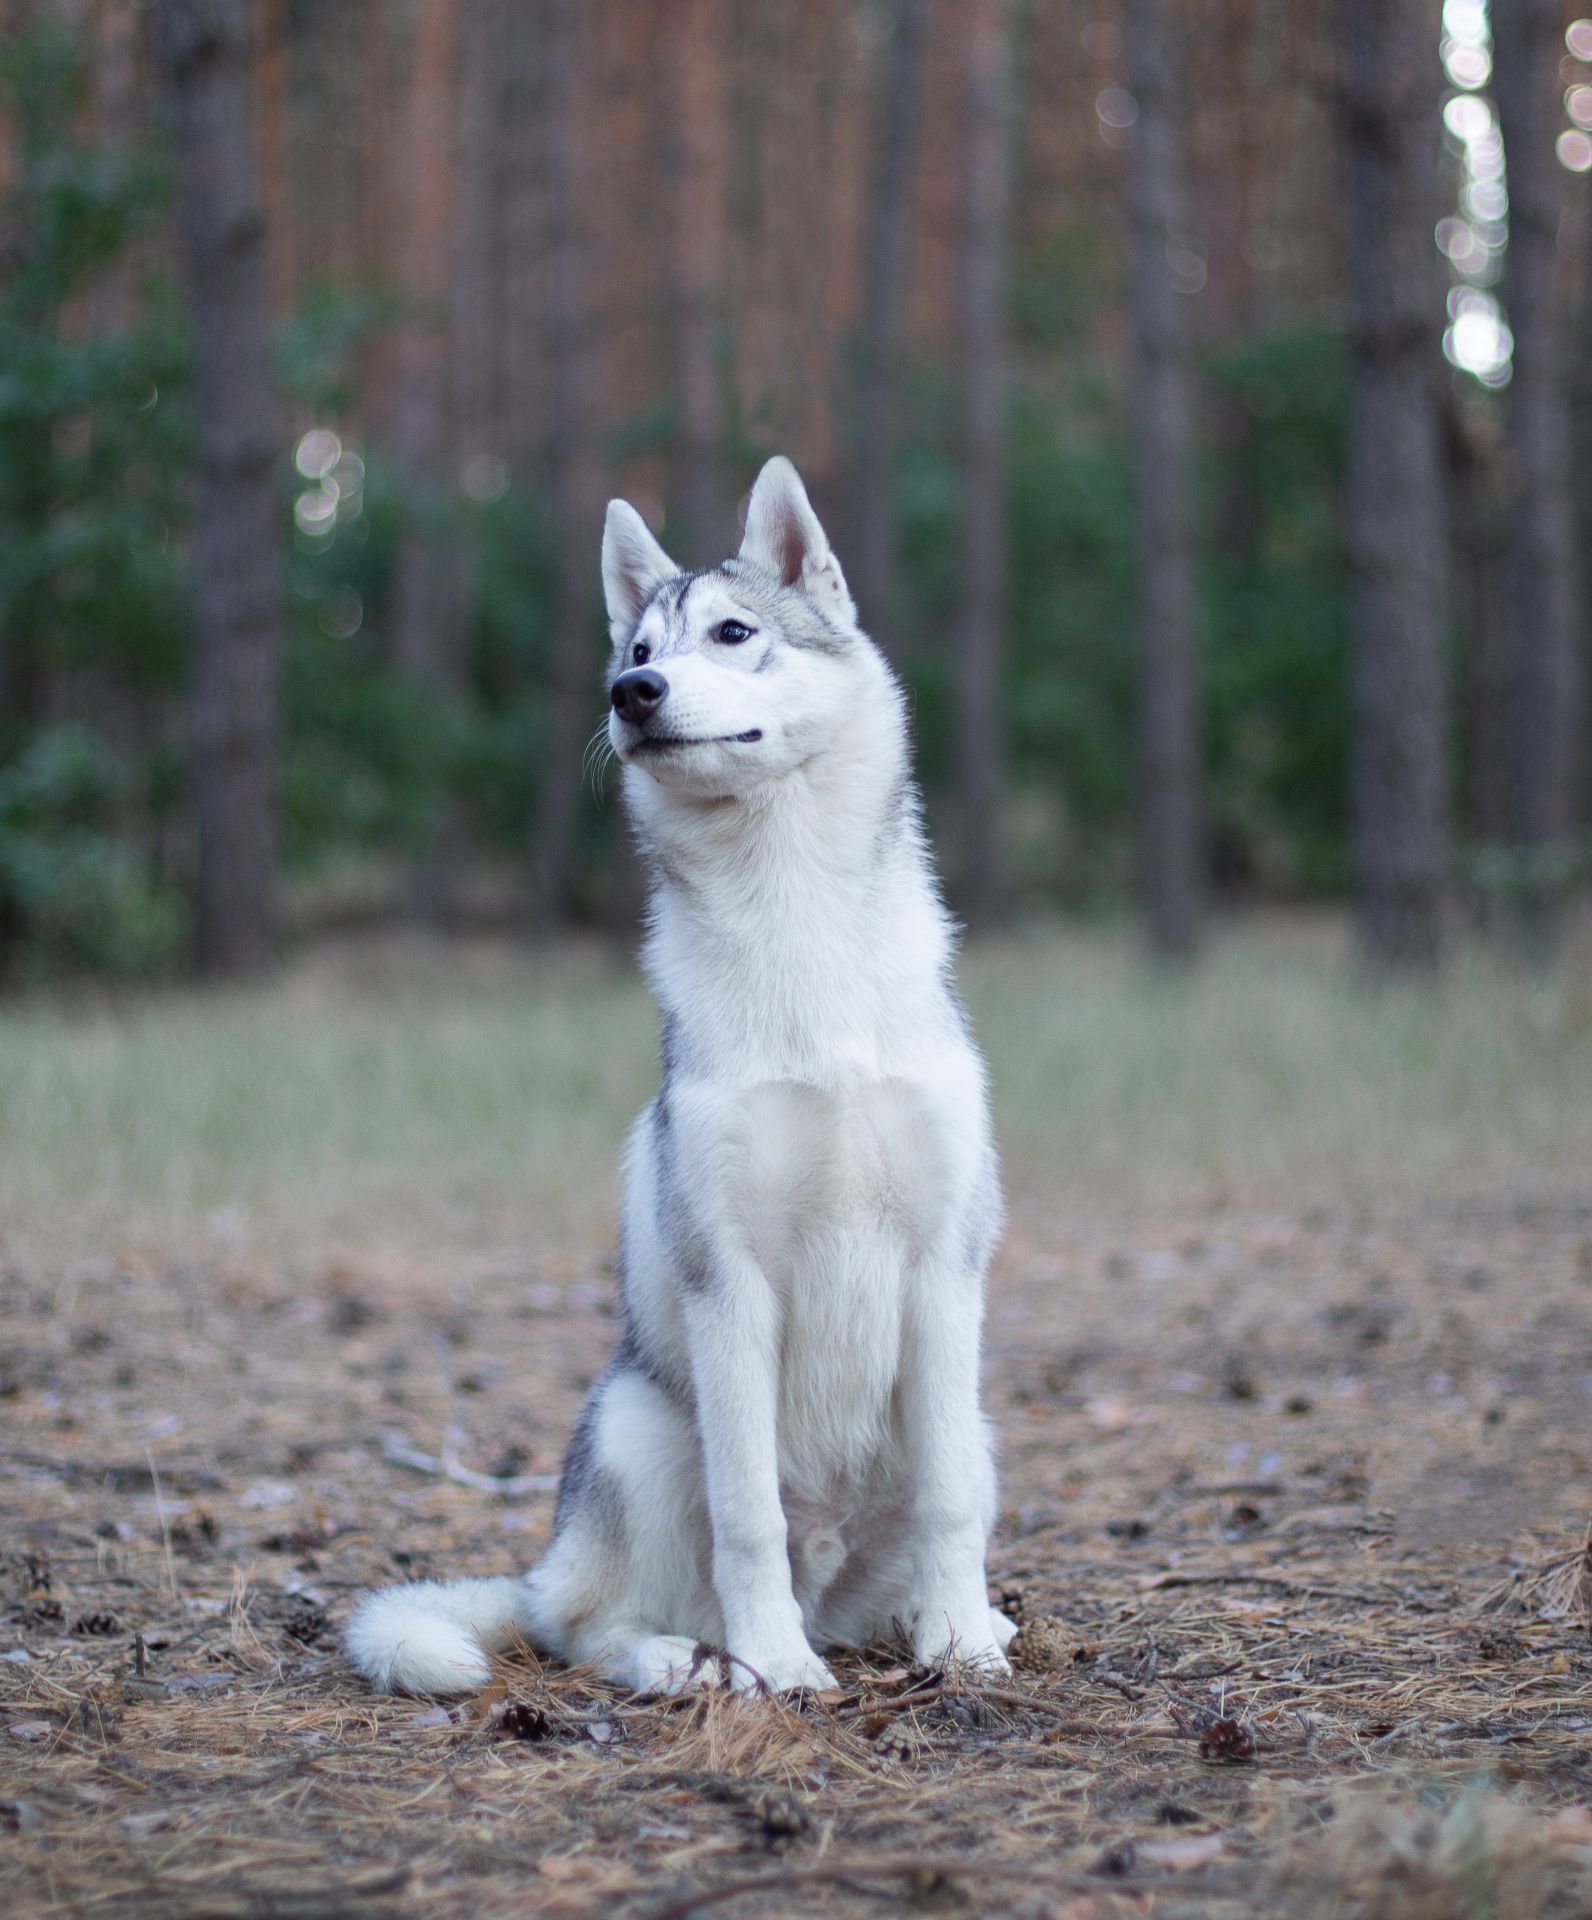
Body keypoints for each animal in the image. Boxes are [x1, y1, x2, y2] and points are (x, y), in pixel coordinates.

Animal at [351, 456, 1021, 1689]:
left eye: (732, 632)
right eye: (635, 648)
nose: (635, 693)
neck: (795, 930)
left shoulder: (946, 1273)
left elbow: (951, 1500)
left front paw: (959, 1647)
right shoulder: (731, 1282)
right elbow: (747, 1514)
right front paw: (777, 1675)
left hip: (969, 1422)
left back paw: (944, 1621)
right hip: (637, 1427)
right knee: (583, 1626)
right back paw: (693, 1660)